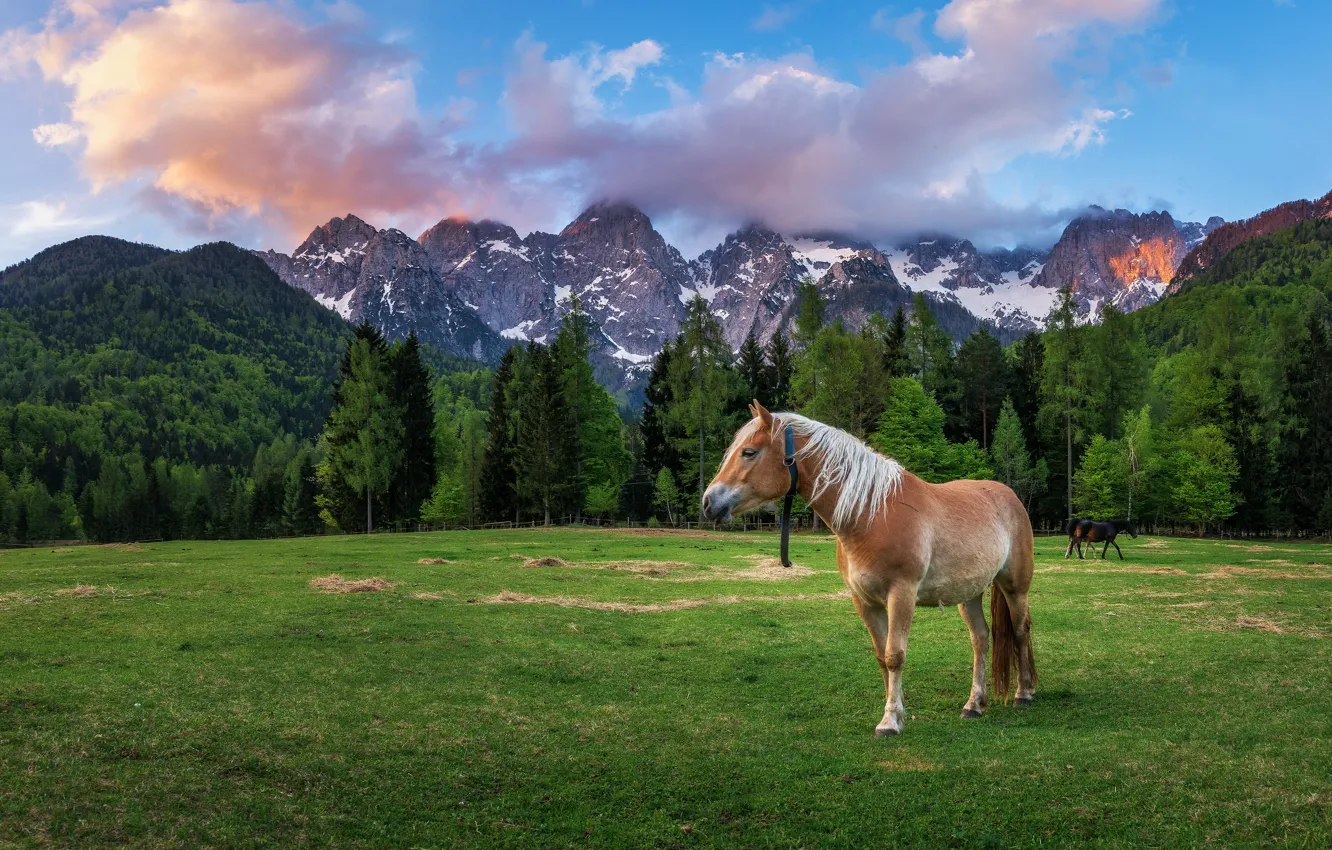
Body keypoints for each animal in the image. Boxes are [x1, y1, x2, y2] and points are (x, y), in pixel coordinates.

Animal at [701, 401, 1037, 737]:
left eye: (748, 452)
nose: (708, 502)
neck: (871, 514)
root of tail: (1009, 497)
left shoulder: (901, 595)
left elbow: (894, 655)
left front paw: (889, 722)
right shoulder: (864, 601)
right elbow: (880, 656)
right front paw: (896, 711)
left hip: (1015, 587)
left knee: (1021, 631)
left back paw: (1023, 693)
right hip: (969, 594)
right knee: (980, 639)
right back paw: (974, 705)